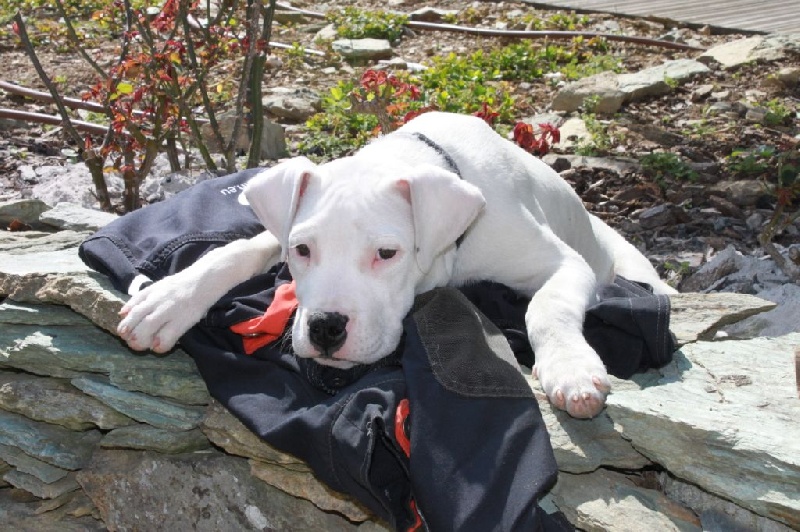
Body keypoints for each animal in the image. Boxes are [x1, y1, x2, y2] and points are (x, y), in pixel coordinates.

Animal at [117, 111, 676, 418]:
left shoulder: (563, 264)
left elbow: (548, 307)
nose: (325, 329)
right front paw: (167, 301)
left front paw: (571, 368)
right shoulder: (277, 231)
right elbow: (236, 250)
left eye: (387, 254)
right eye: (302, 250)